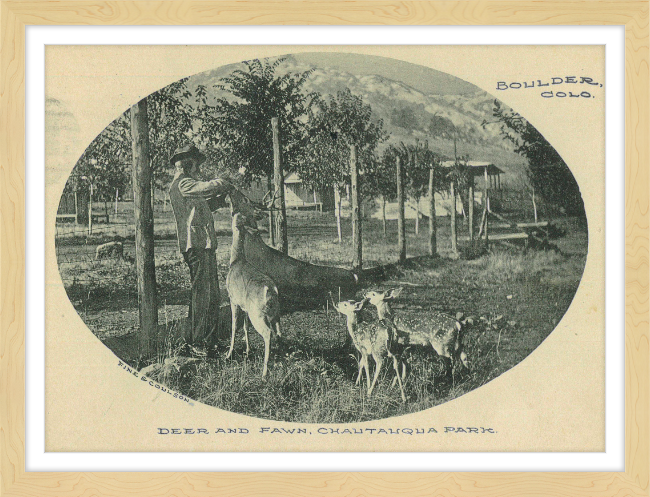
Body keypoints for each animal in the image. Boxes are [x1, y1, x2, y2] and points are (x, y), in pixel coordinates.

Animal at [224, 211, 280, 378]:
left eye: (238, 216)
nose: (233, 212)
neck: (236, 260)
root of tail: (270, 290)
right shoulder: (245, 307)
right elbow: (245, 326)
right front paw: (248, 350)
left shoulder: (233, 299)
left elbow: (234, 326)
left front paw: (229, 353)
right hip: (275, 312)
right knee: (278, 332)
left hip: (258, 313)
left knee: (268, 333)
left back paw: (264, 373)